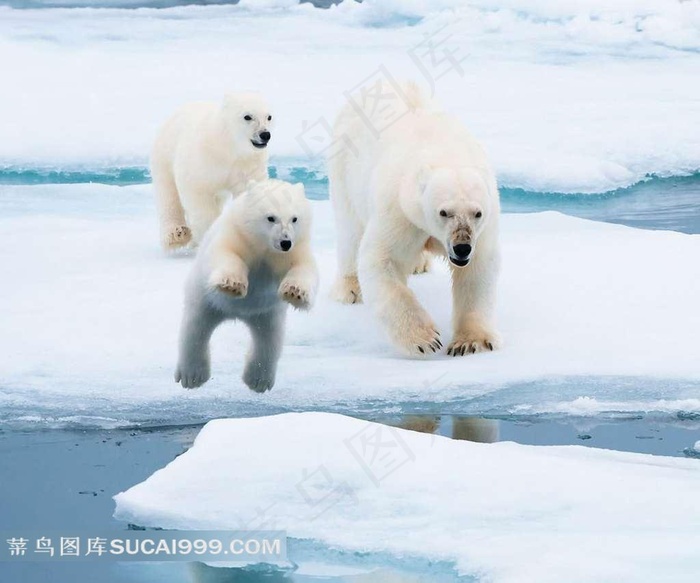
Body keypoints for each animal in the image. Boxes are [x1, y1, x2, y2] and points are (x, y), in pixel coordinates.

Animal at [152, 93, 272, 251]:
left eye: (269, 116)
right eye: (247, 116)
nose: (265, 134)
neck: (228, 146)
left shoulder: (247, 163)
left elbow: (252, 191)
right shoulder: (202, 160)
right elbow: (198, 195)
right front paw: (211, 236)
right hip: (164, 155)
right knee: (168, 194)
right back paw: (176, 234)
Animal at [175, 180, 318, 394]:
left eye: (294, 218)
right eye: (271, 217)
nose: (285, 242)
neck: (263, 247)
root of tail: (238, 314)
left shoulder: (295, 249)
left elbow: (305, 269)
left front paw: (295, 292)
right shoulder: (237, 235)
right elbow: (224, 254)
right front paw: (232, 285)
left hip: (266, 313)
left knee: (269, 339)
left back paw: (258, 380)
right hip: (204, 299)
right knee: (195, 329)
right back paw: (192, 376)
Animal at [330, 80, 500, 358]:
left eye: (477, 213)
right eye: (444, 212)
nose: (462, 247)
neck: (447, 154)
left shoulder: (486, 224)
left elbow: (478, 270)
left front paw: (471, 342)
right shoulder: (400, 210)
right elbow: (382, 258)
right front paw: (425, 339)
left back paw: (419, 264)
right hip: (345, 167)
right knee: (350, 231)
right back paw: (350, 288)